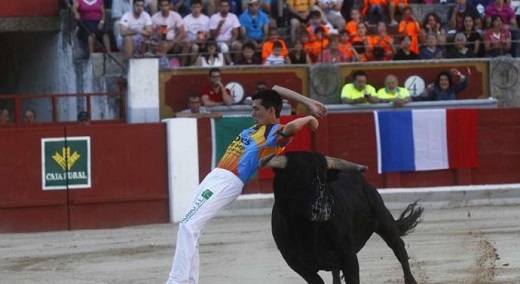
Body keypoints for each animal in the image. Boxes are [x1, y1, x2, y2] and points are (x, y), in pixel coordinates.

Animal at [268, 152, 422, 284]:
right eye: (296, 178)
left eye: (325, 178)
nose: (323, 209)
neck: (307, 231)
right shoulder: (297, 265)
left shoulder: (349, 256)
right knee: (335, 271)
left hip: (384, 220)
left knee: (399, 248)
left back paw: (411, 280)